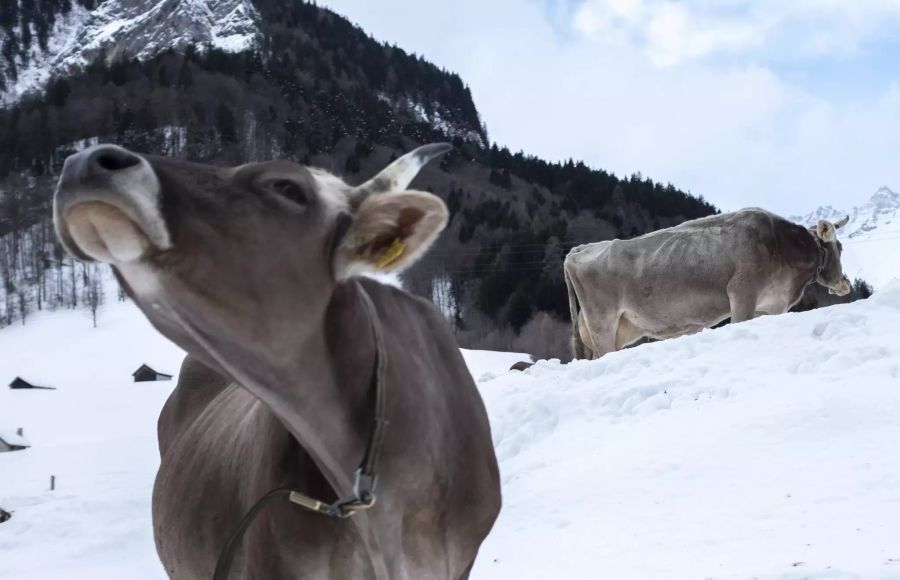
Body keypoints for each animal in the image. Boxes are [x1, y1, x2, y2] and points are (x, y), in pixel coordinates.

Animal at [568, 208, 848, 358]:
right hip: (602, 323)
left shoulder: (770, 305)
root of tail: (578, 250)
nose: (844, 283)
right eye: (841, 247)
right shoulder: (742, 293)